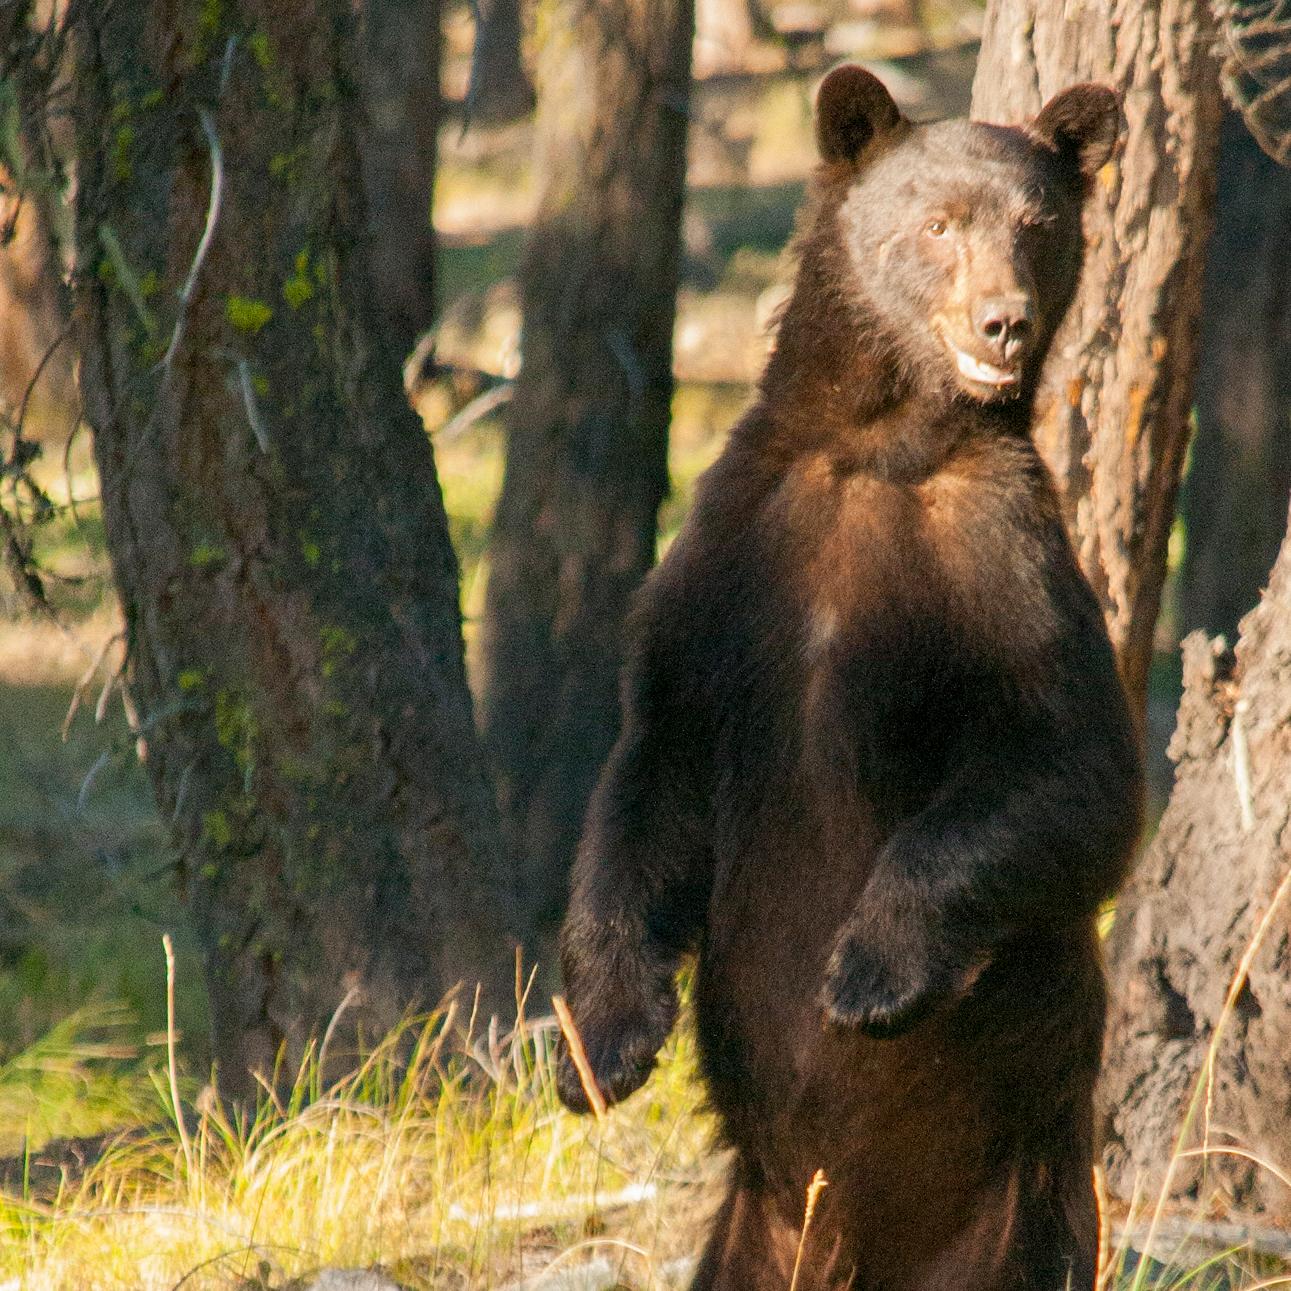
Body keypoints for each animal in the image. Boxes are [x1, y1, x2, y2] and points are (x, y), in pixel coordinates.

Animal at [555, 65, 1143, 1291]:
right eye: (938, 223)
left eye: (1038, 225)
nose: (1004, 320)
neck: (879, 442)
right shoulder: (731, 565)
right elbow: (647, 769)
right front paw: (607, 1042)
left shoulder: (1000, 558)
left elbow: (1071, 769)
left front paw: (866, 974)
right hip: (748, 1235)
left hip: (1022, 1213)